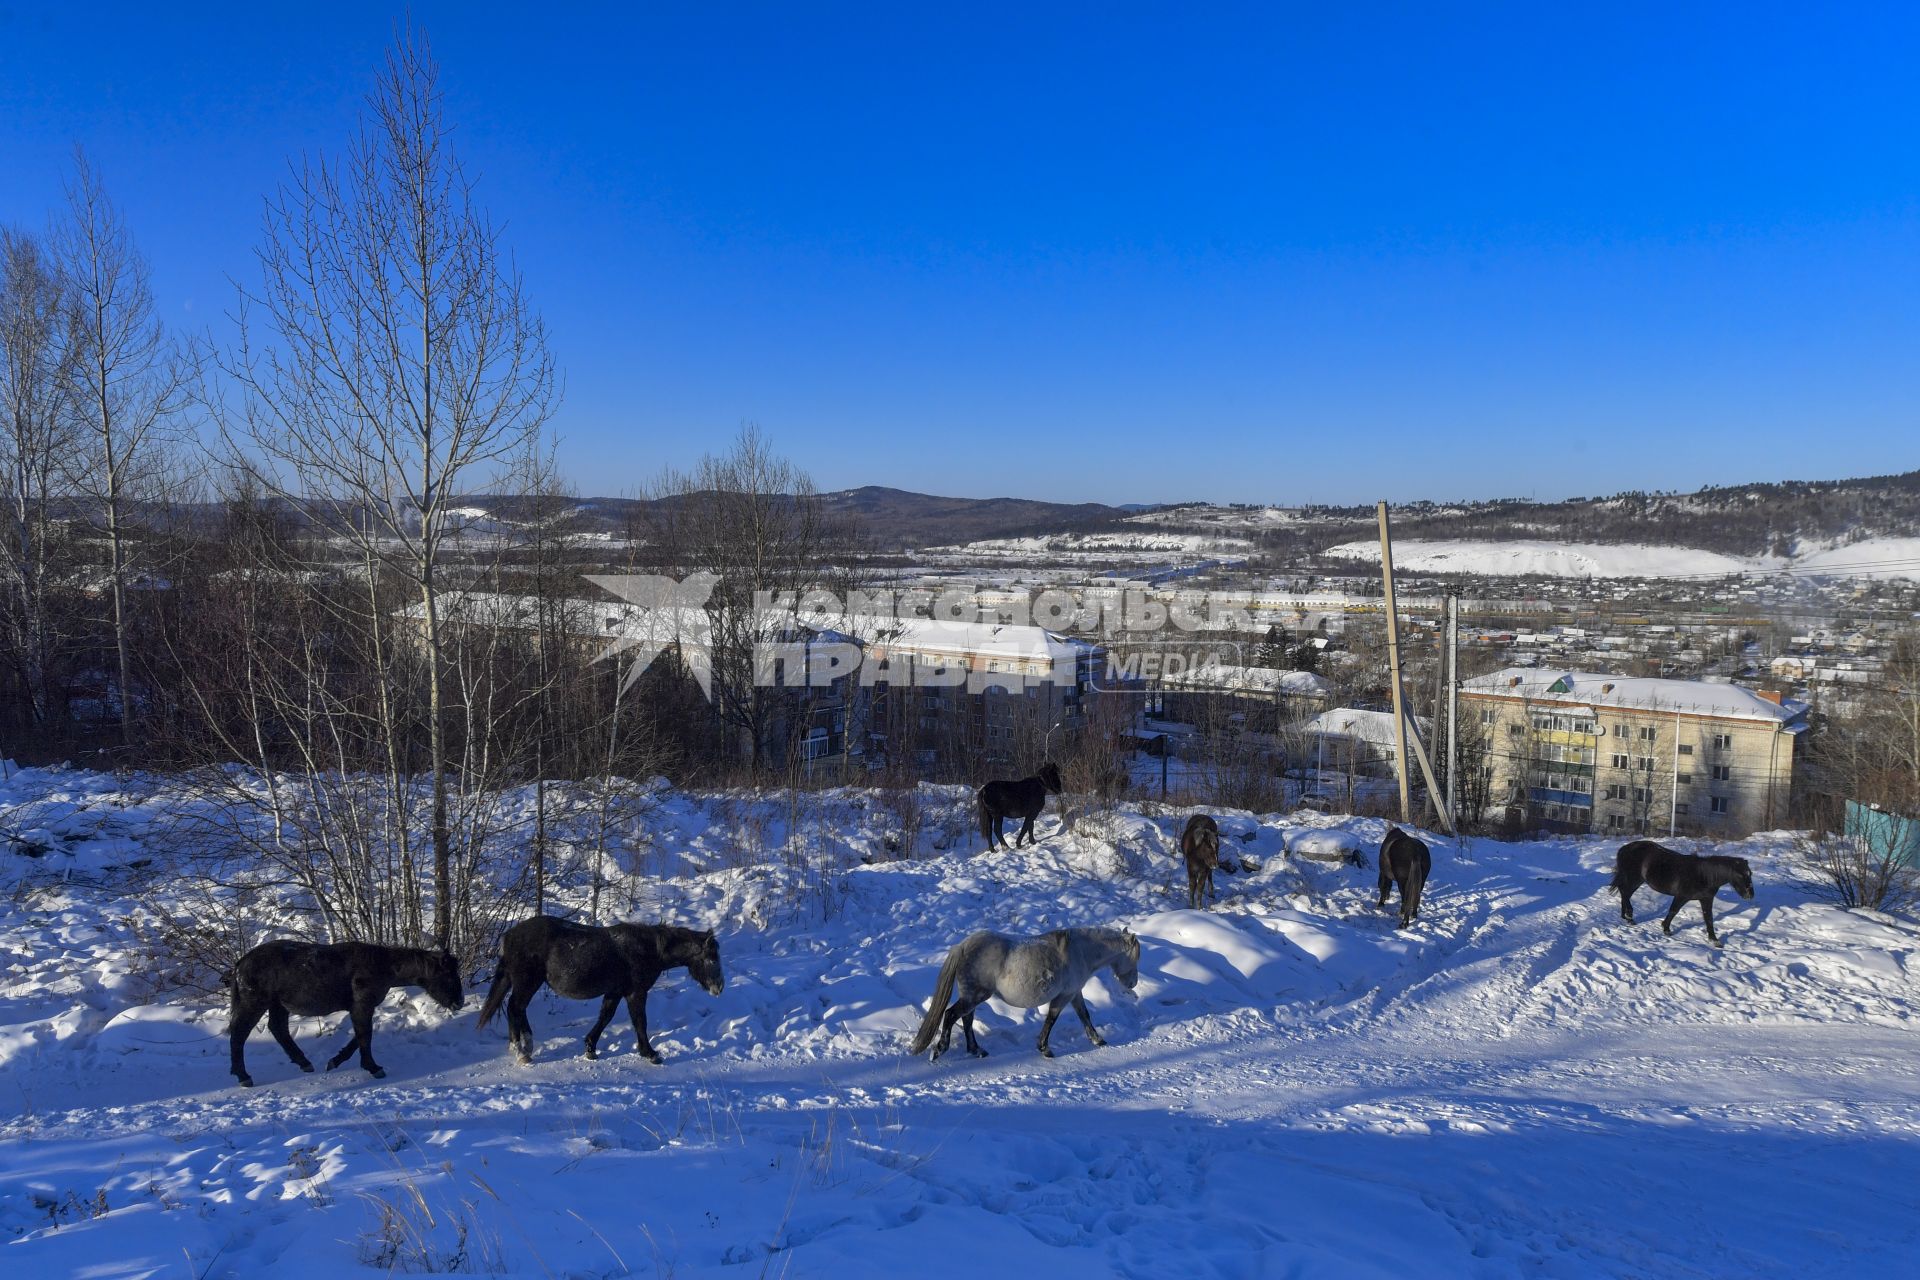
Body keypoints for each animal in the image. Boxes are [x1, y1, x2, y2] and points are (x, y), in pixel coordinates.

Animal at [223, 940, 460, 1090]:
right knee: (239, 1034)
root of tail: (240, 964)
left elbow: (358, 1038)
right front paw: (373, 1067)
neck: (382, 965)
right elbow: (365, 1036)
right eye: (448, 975)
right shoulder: (362, 1006)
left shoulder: (360, 1008)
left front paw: (335, 1061)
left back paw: (303, 1062)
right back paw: (243, 1076)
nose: (458, 1002)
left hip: (278, 1004)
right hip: (254, 1003)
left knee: (278, 1029)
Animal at [476, 917, 721, 1066]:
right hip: (527, 982)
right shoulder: (636, 992)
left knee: (519, 1009)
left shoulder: (615, 992)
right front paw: (650, 1053)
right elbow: (640, 1021)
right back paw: (520, 1051)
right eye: (711, 958)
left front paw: (590, 1048)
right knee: (514, 1007)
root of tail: (509, 936)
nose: (719, 987)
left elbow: (605, 1017)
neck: (648, 949)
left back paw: (527, 1046)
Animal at [902, 932, 1128, 1059]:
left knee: (966, 1020)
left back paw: (977, 1050)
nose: (1130, 984)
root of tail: (963, 946)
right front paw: (1045, 1049)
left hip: (972, 996)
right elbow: (1052, 1019)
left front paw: (1098, 1040)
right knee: (951, 1015)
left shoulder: (1074, 994)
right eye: (1133, 955)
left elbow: (1084, 1015)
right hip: (975, 995)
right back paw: (940, 1050)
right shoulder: (1064, 996)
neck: (1079, 951)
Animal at [1605, 844, 1758, 948]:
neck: (1703, 876)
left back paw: (1625, 916)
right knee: (1625, 893)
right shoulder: (1681, 896)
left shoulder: (1706, 899)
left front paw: (1714, 940)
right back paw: (1629, 916)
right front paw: (1666, 929)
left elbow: (1709, 919)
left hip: (1637, 880)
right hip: (1634, 878)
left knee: (1625, 893)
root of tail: (1624, 848)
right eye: (1740, 875)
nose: (1750, 894)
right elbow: (1673, 911)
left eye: (1750, 873)